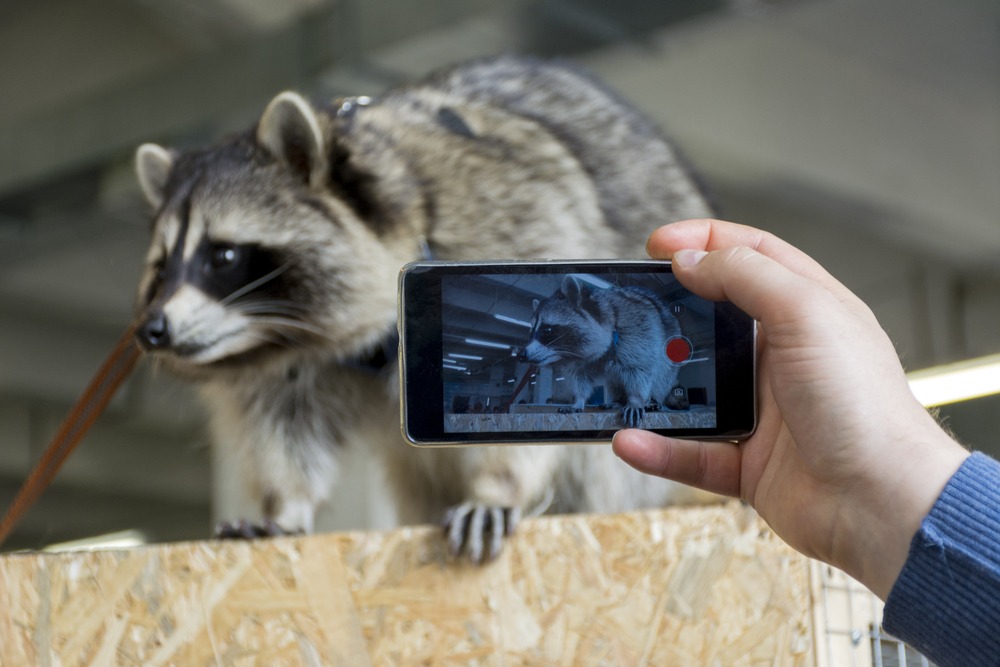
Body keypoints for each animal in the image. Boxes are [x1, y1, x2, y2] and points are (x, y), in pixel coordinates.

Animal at [524, 276, 685, 428]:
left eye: (548, 330)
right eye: (531, 331)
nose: (521, 354)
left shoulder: (638, 334)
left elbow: (639, 370)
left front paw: (635, 399)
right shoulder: (579, 358)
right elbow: (579, 376)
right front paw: (579, 399)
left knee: (662, 376)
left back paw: (653, 399)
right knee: (613, 380)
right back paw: (617, 400)